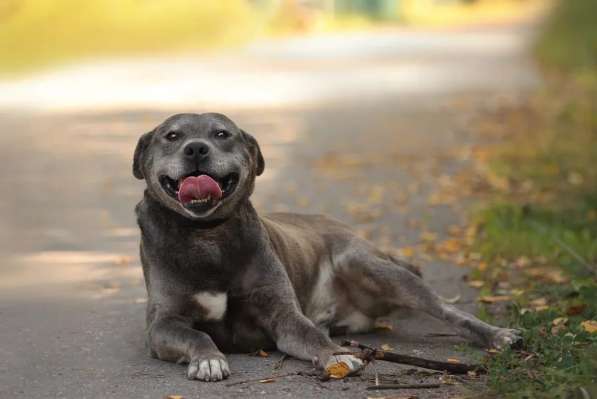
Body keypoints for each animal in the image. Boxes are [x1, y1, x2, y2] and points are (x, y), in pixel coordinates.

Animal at [133, 114, 520, 382]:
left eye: (221, 134)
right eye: (172, 136)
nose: (196, 148)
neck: (207, 232)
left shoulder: (284, 317)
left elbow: (308, 334)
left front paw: (335, 356)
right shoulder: (163, 325)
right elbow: (196, 334)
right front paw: (209, 359)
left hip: (368, 265)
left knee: (449, 311)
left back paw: (498, 335)